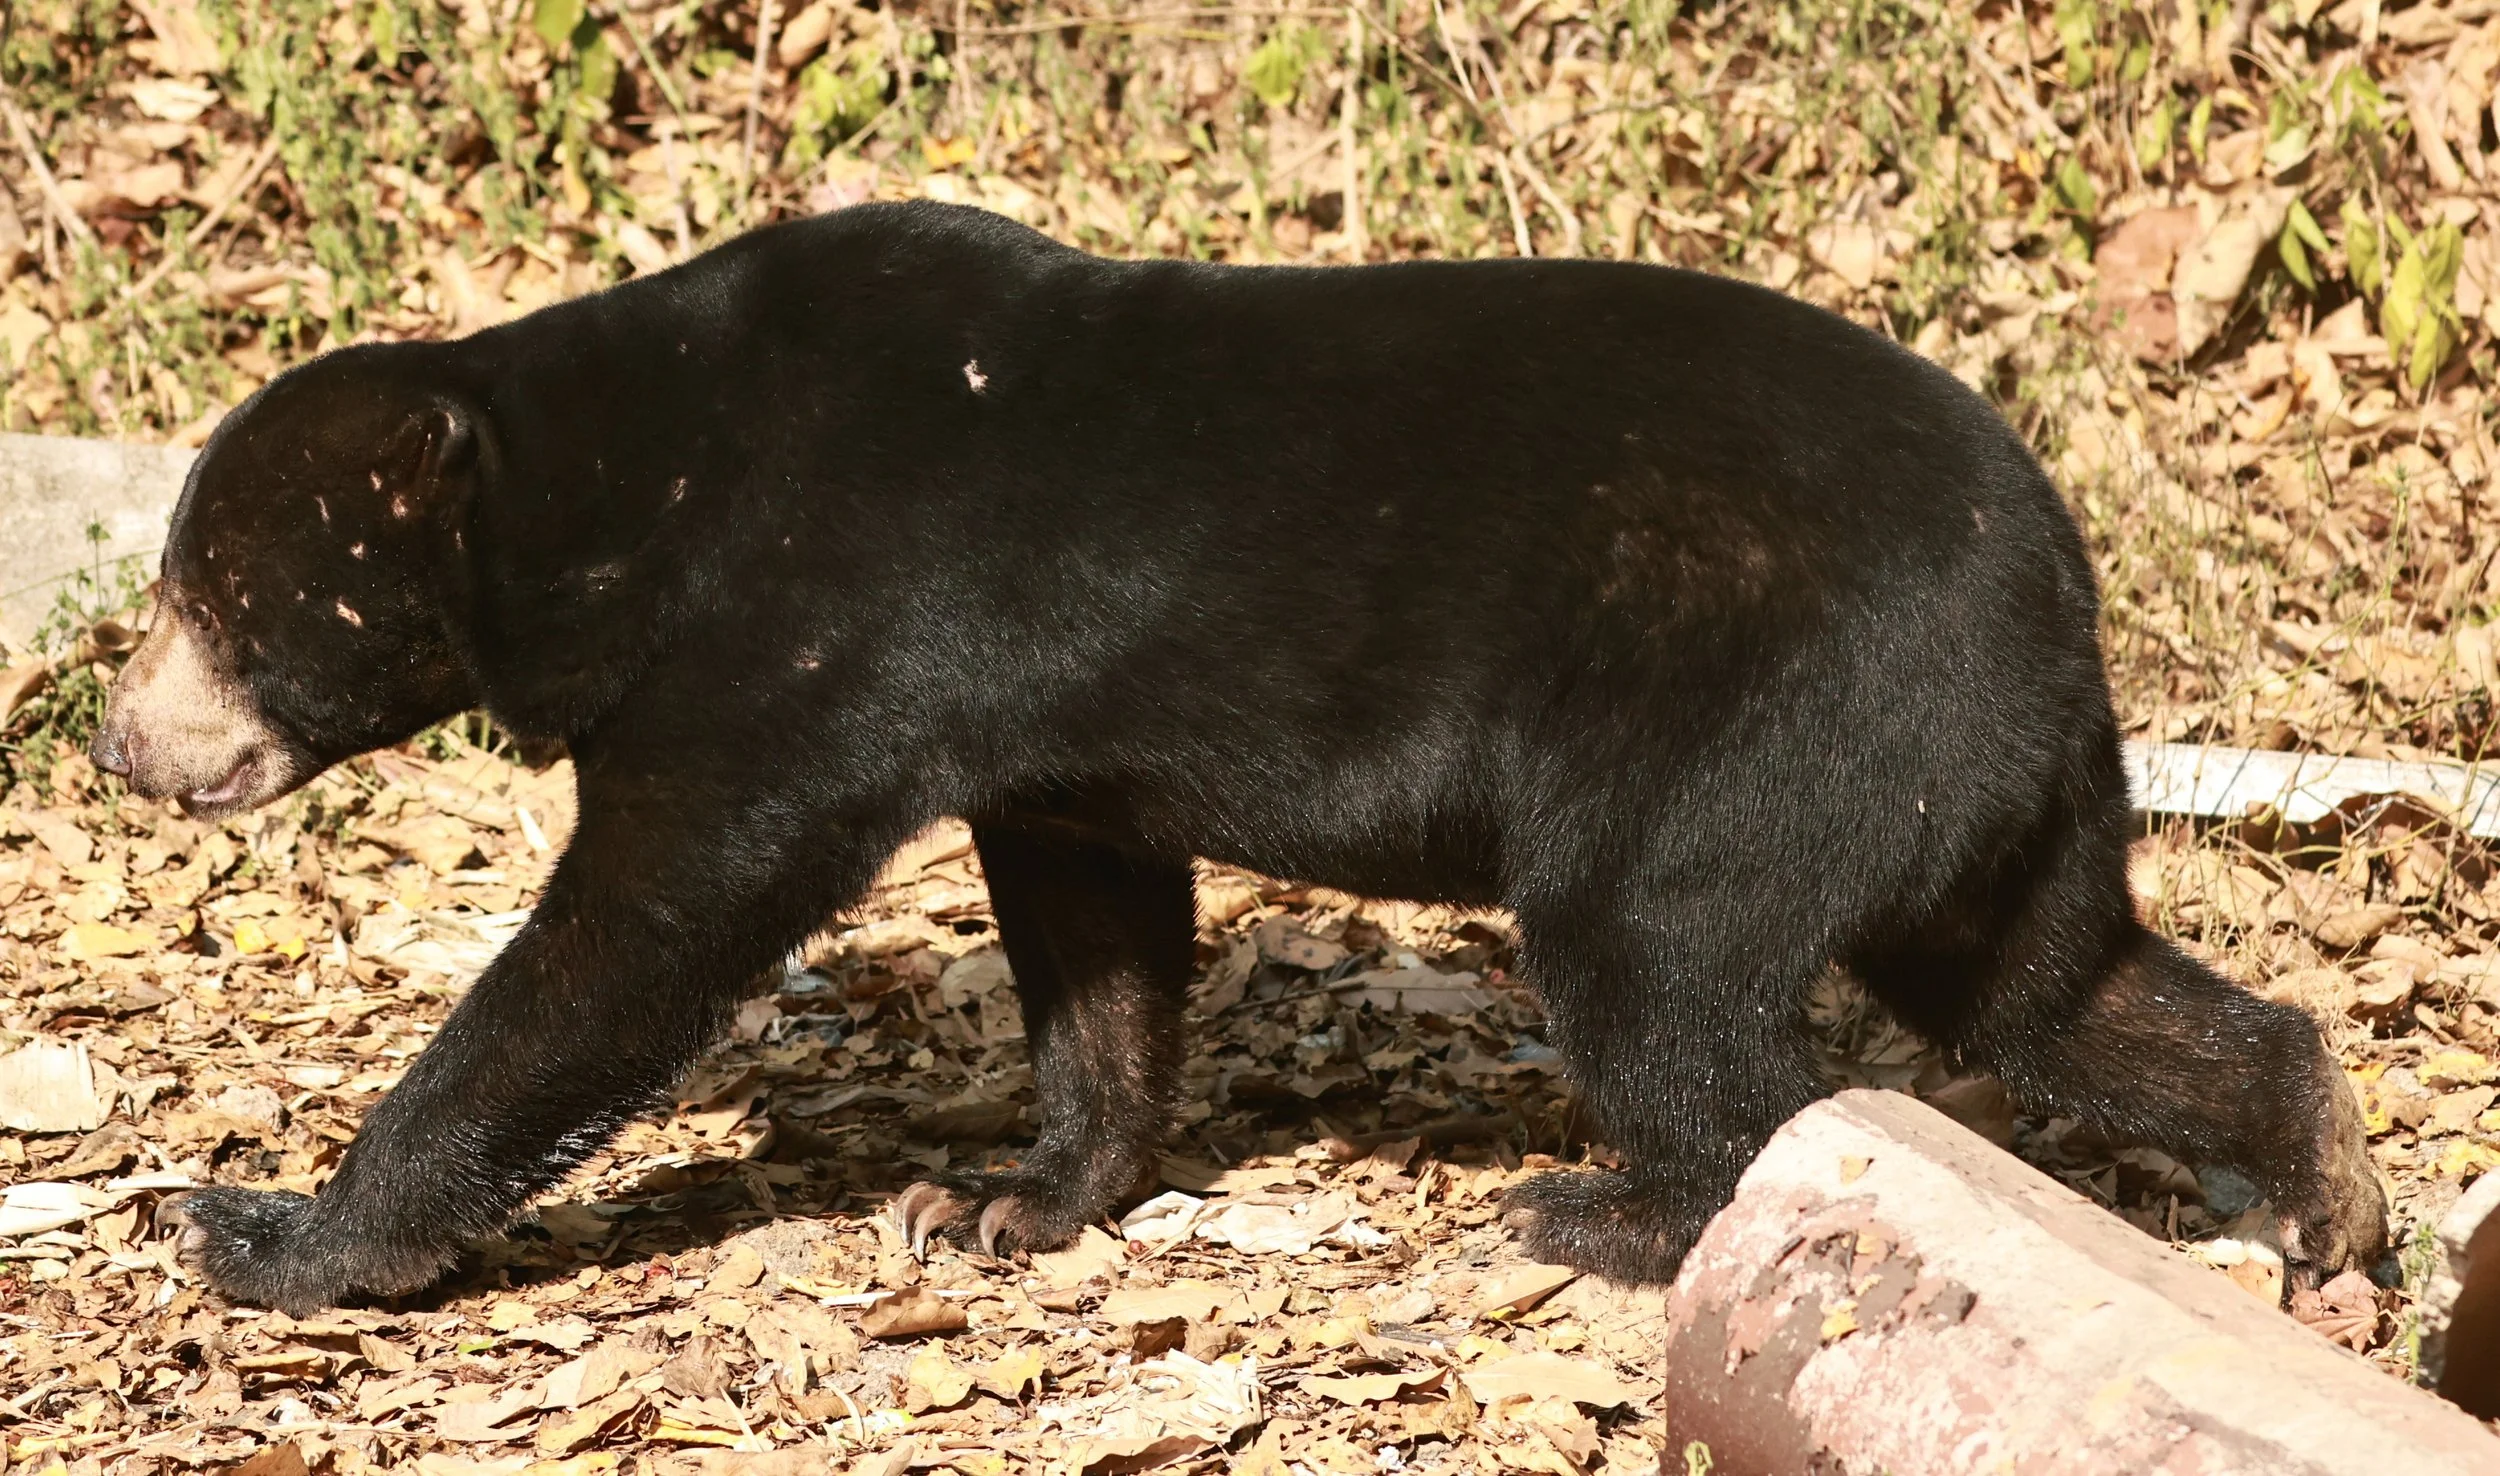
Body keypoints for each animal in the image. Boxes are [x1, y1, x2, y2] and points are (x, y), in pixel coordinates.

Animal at [91, 200, 2386, 1316]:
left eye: (210, 589)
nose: (120, 742)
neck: (628, 489)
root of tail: (2061, 596)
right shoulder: (1036, 730)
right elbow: (1094, 928)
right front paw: (1006, 1200)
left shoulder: (807, 628)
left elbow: (641, 926)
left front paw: (264, 1234)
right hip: (1949, 781)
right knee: (2045, 979)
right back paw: (2315, 1187)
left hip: (1762, 705)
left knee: (1668, 963)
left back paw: (1606, 1213)